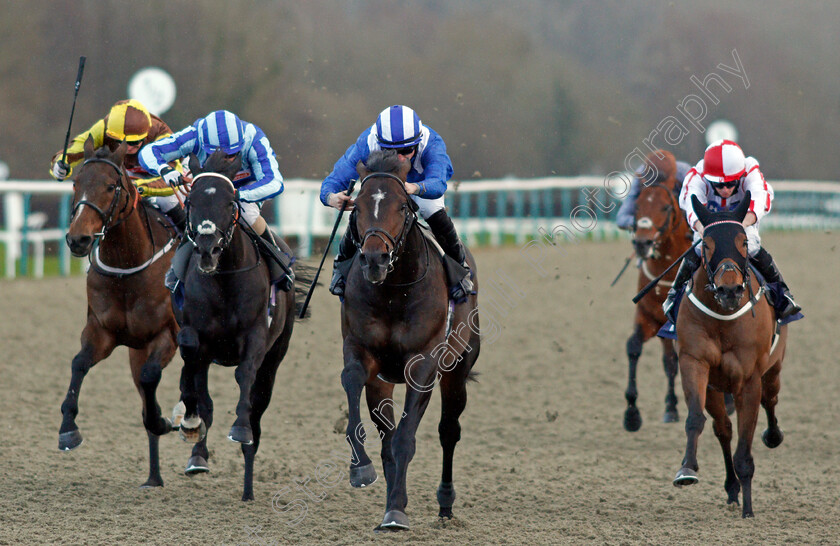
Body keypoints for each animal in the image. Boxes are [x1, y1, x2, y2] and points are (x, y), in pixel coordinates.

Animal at [336, 149, 480, 528]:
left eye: (402, 206)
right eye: (356, 207)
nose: (374, 258)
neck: (393, 291)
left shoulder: (423, 363)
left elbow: (406, 439)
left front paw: (396, 511)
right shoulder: (360, 350)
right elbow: (352, 383)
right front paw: (362, 470)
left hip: (458, 367)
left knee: (448, 430)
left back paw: (445, 505)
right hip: (384, 381)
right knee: (386, 433)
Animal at [620, 180, 692, 430]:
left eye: (665, 207)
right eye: (637, 205)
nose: (643, 243)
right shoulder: (648, 317)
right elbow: (633, 346)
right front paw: (632, 413)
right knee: (669, 362)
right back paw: (670, 407)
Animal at [668, 193, 788, 516]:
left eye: (743, 242)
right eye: (707, 244)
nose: (730, 290)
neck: (724, 317)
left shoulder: (749, 378)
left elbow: (745, 447)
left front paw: (748, 509)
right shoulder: (694, 362)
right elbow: (695, 419)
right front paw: (686, 469)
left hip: (773, 368)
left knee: (770, 400)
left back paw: (773, 437)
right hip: (715, 387)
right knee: (723, 428)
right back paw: (731, 488)